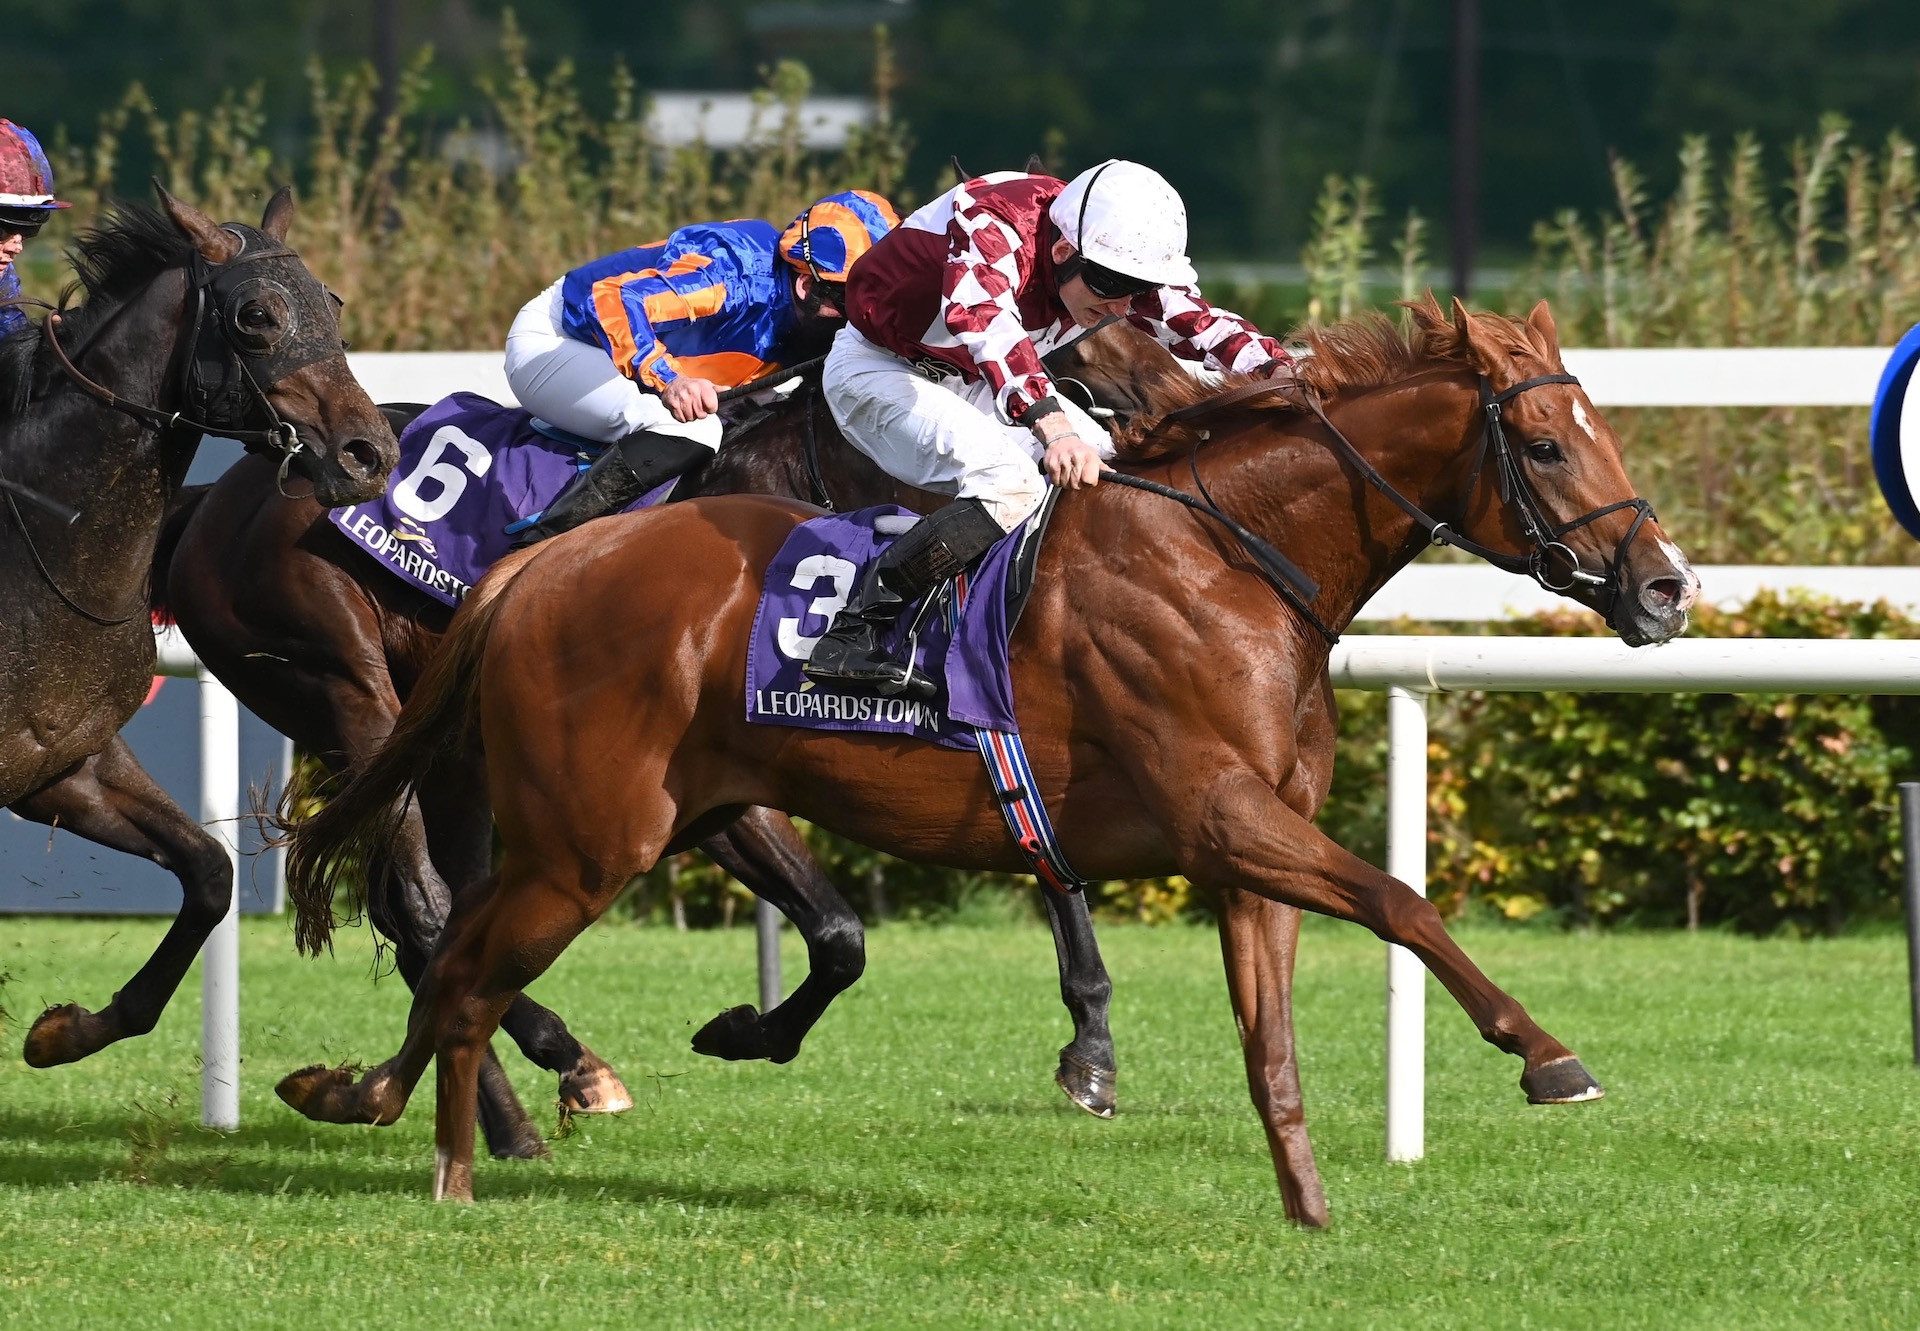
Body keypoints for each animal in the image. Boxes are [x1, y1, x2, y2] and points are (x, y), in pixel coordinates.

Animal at [274, 295, 1697, 1221]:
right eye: (1550, 444)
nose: (1666, 586)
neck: (1230, 559)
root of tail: (535, 563)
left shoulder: (1244, 848)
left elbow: (1273, 1042)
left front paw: (1308, 1208)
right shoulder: (1223, 814)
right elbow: (1404, 900)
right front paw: (1547, 1056)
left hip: (611, 823)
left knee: (452, 956)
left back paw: (371, 1101)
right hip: (586, 839)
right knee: (461, 965)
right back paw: (453, 1163)